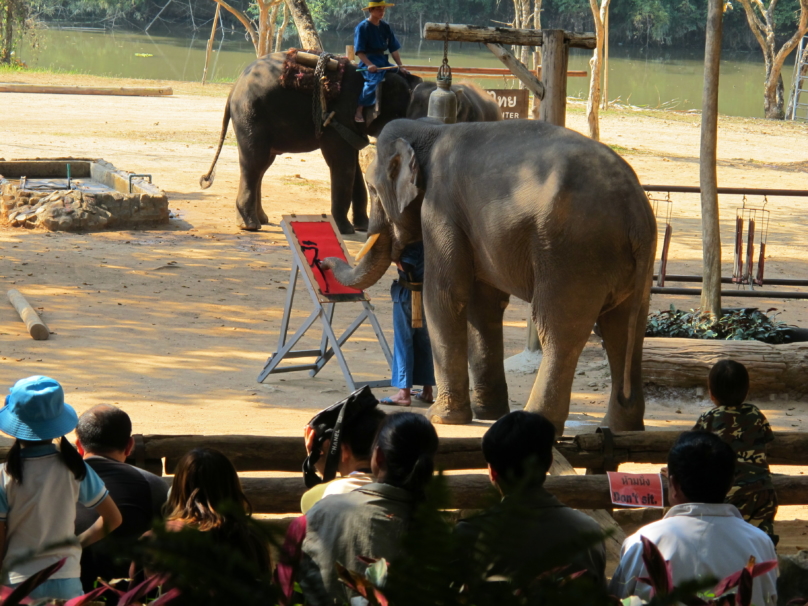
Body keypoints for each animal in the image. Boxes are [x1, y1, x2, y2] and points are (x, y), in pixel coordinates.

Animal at [200, 51, 422, 235]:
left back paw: (261, 219)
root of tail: (233, 88)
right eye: (398, 115)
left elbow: (353, 165)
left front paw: (362, 227)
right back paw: (250, 225)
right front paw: (346, 230)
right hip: (251, 115)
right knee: (255, 163)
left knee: (262, 165)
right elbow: (341, 163)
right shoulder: (336, 117)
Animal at [320, 119, 656, 434]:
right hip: (625, 263)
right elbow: (483, 306)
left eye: (372, 189)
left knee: (558, 327)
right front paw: (488, 414)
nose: (322, 262)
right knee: (624, 328)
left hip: (572, 252)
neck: (431, 129)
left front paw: (442, 418)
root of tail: (636, 210)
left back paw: (540, 419)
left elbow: (444, 297)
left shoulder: (441, 209)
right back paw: (623, 427)